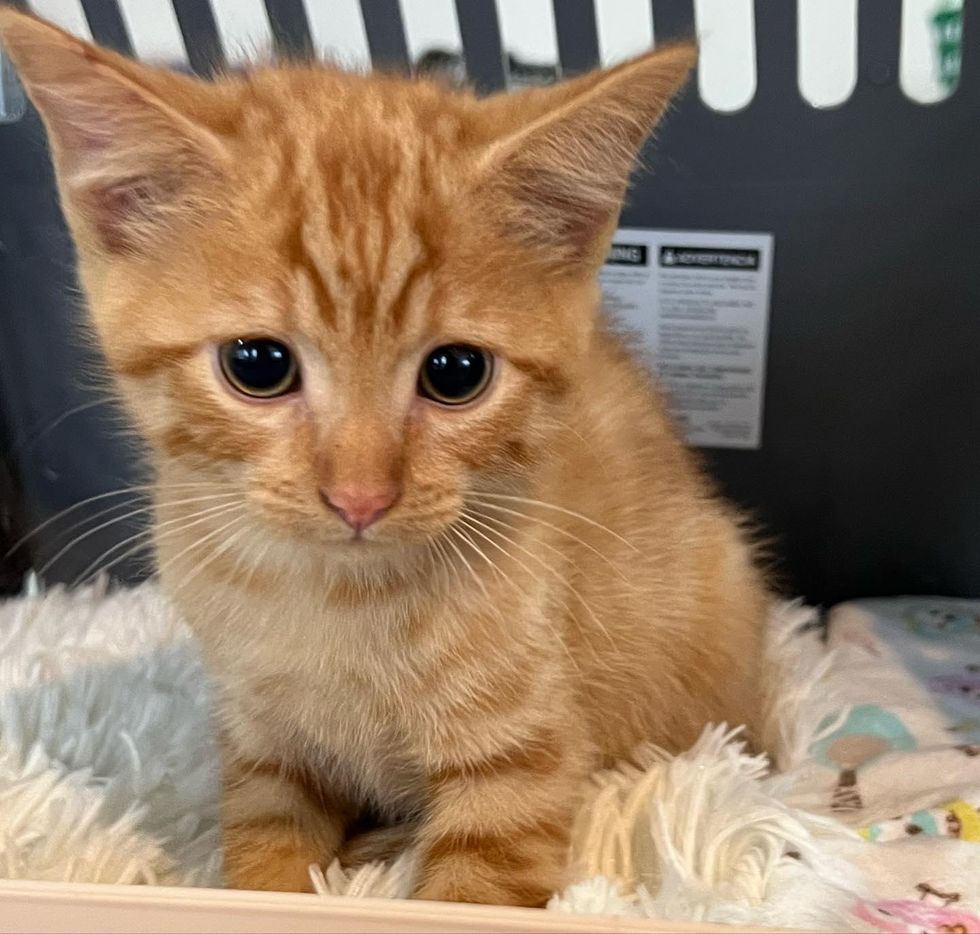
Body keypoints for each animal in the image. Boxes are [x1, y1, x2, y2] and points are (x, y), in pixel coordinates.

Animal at [0, 11, 768, 912]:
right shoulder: (260, 749)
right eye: (257, 364)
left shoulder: (524, 767)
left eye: (456, 372)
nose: (360, 497)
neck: (334, 597)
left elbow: (469, 892)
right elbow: (260, 862)